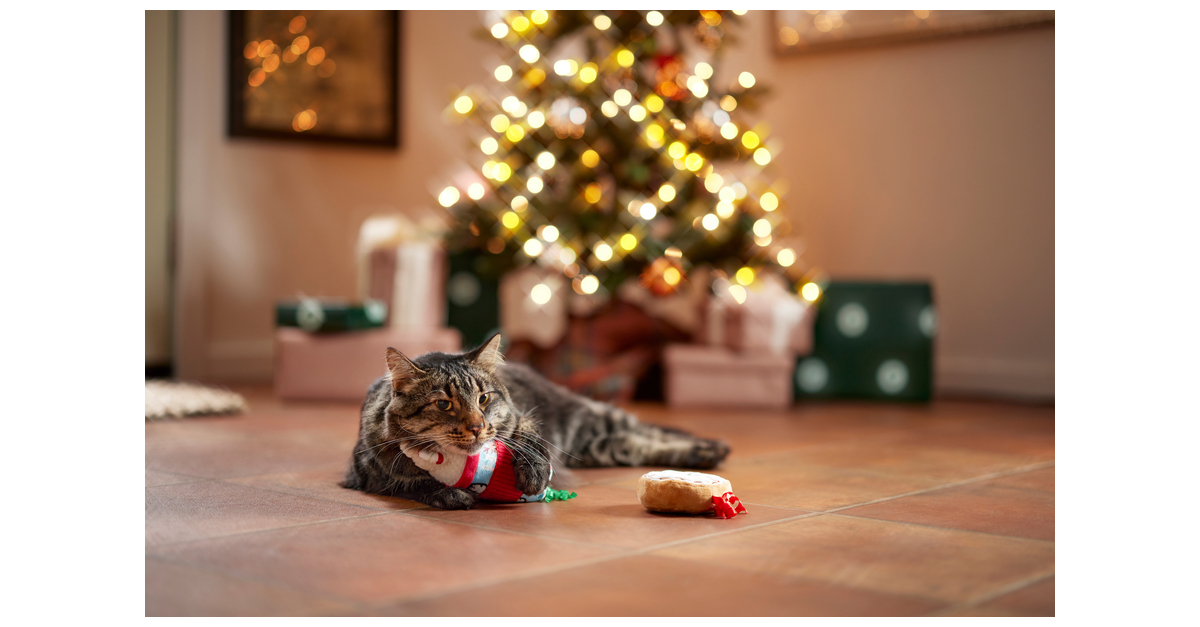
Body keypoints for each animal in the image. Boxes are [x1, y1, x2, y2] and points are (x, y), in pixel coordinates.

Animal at [340, 333, 729, 504]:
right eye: (444, 404)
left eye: (484, 398)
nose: (477, 427)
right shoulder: (369, 473)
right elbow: (412, 482)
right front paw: (448, 494)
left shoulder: (520, 418)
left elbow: (530, 441)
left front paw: (534, 474)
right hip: (603, 446)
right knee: (644, 443)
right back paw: (702, 456)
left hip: (599, 422)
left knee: (652, 430)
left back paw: (712, 449)